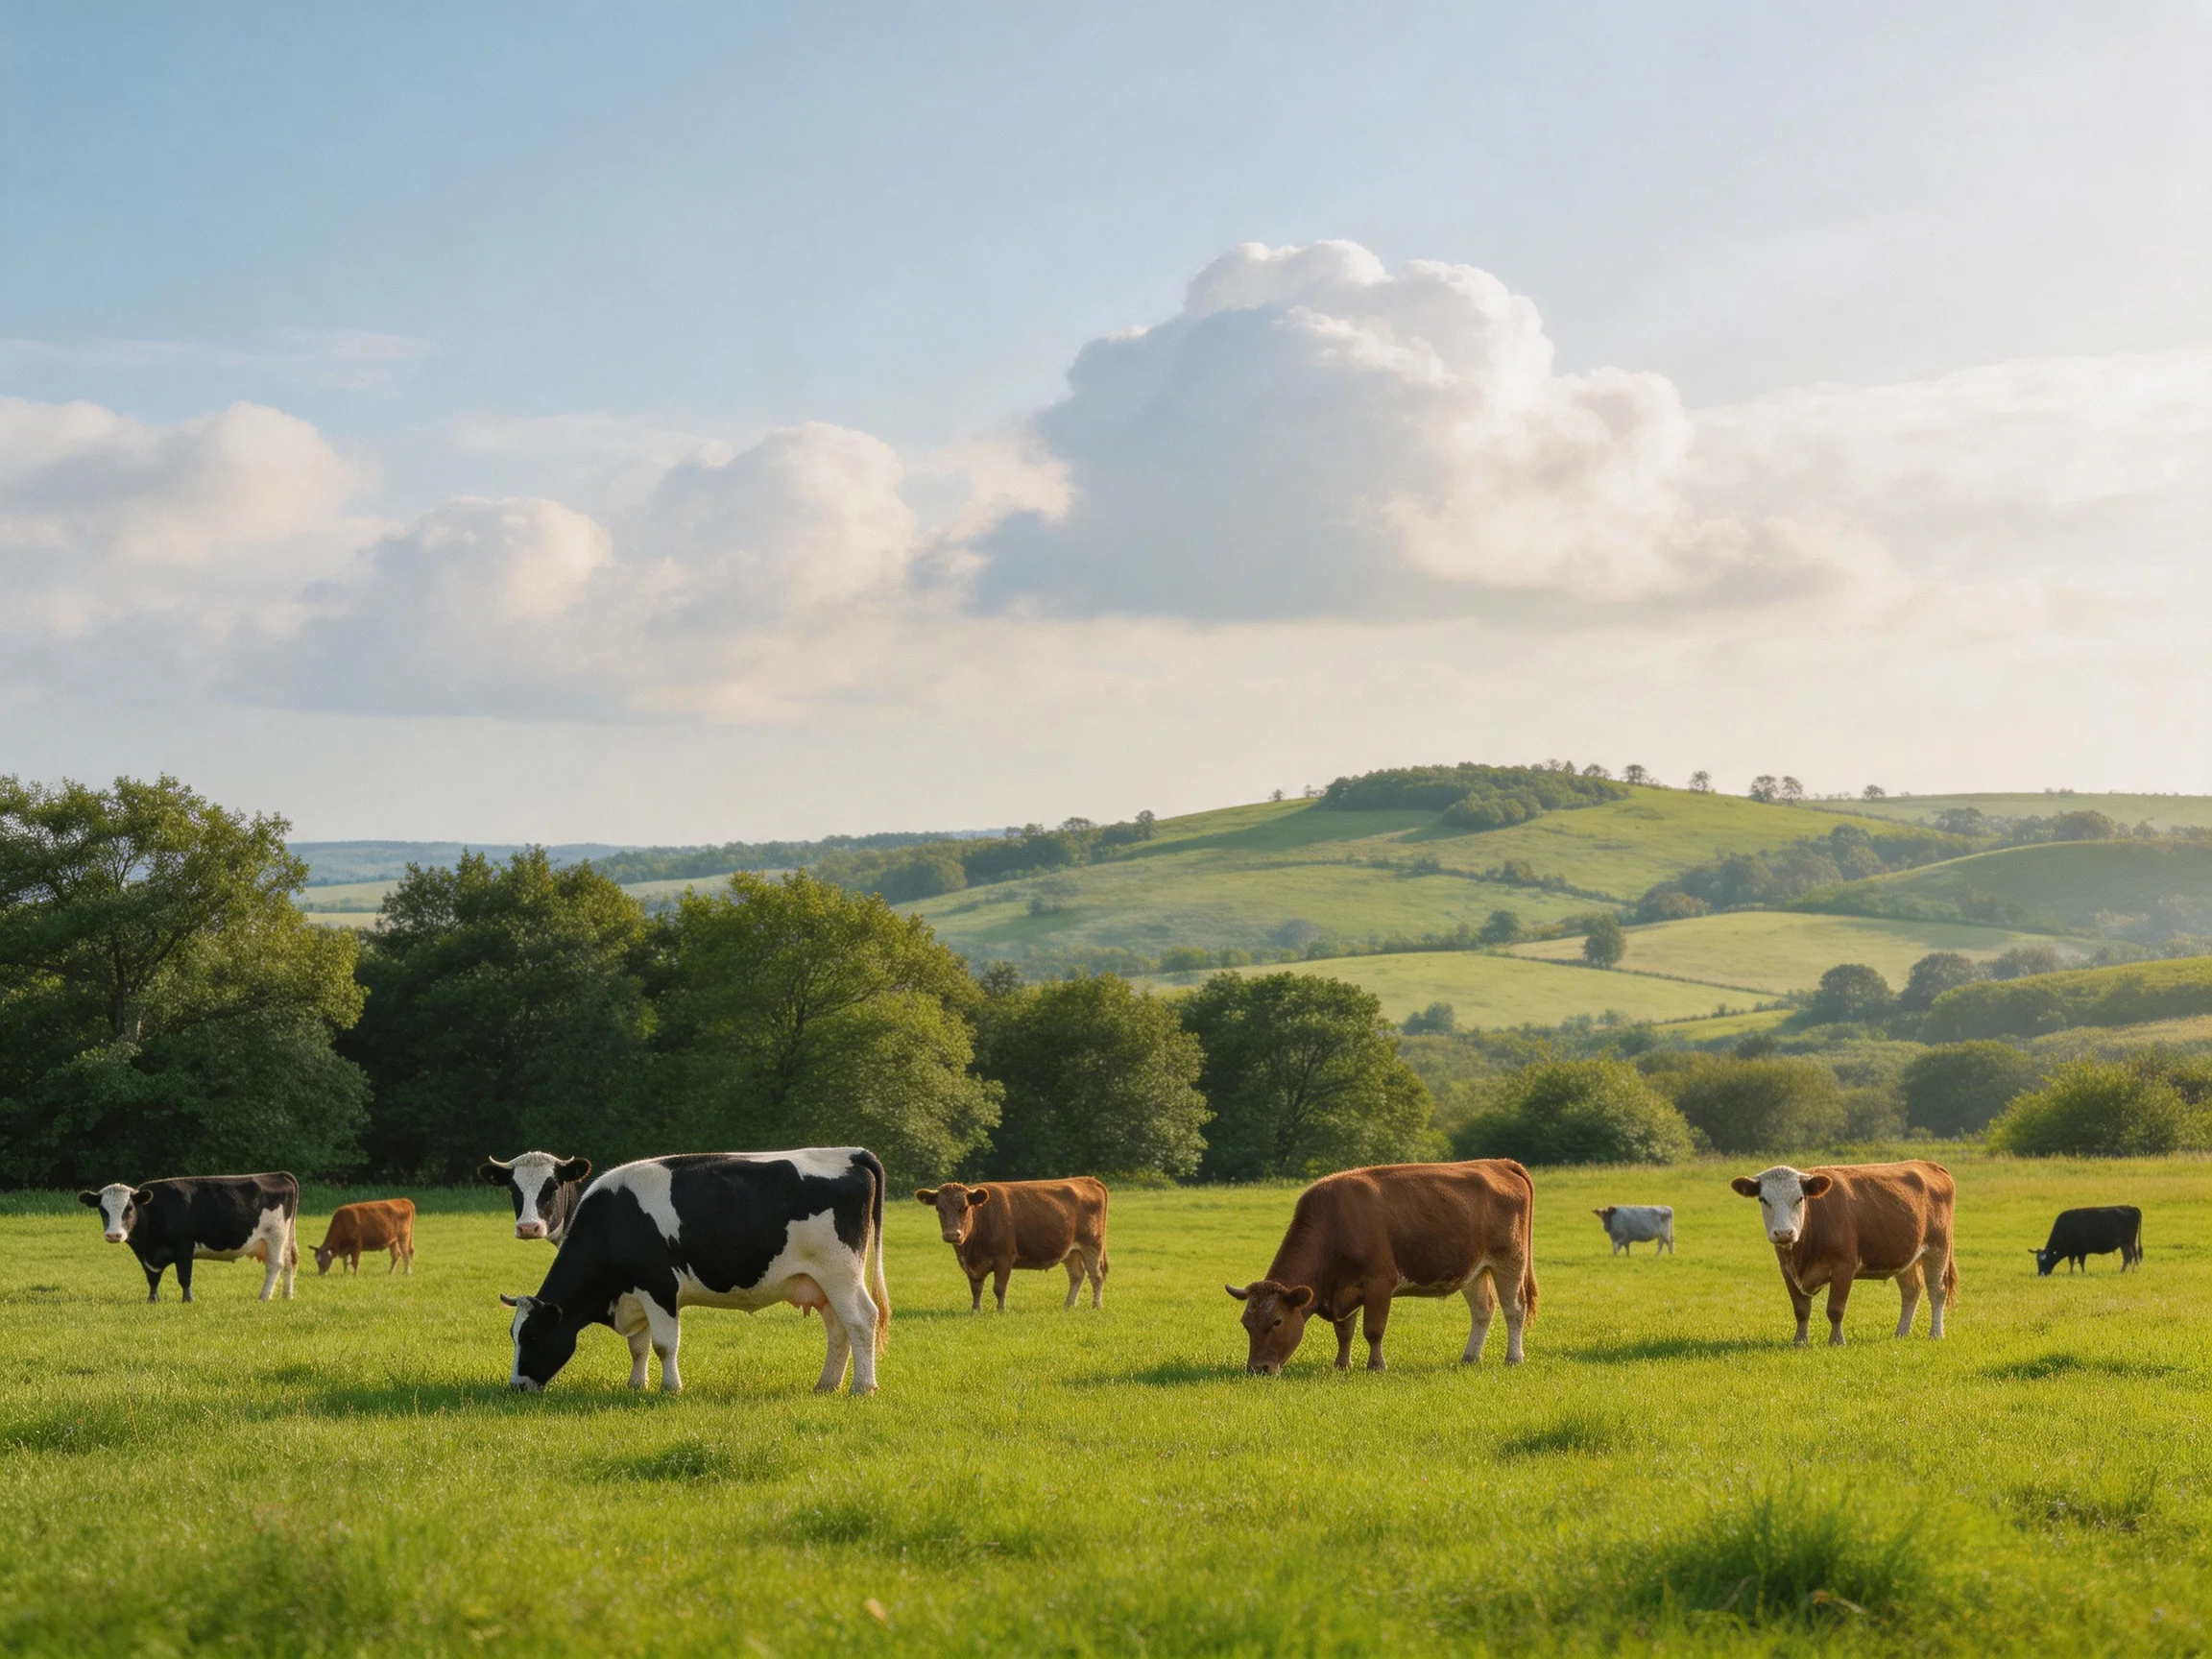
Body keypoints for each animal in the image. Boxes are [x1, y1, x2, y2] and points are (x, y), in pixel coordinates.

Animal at [77, 1174, 300, 1303]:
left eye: (129, 1208)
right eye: (102, 1209)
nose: (114, 1234)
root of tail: (278, 1175)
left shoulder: (184, 1247)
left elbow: (184, 1277)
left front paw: (188, 1300)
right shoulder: (145, 1254)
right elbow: (152, 1278)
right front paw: (152, 1299)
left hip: (275, 1235)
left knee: (275, 1265)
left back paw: (264, 1297)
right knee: (290, 1262)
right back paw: (287, 1295)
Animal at [501, 1148, 889, 1396]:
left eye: (532, 1336)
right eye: (512, 1335)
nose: (517, 1386)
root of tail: (851, 1153)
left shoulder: (659, 1287)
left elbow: (663, 1344)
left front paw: (670, 1388)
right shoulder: (636, 1293)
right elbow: (638, 1346)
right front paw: (636, 1385)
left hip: (841, 1273)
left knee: (861, 1320)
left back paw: (862, 1387)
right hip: (820, 1283)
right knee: (838, 1328)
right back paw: (827, 1385)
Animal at [915, 1178, 1109, 1311]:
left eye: (965, 1207)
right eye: (939, 1208)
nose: (952, 1234)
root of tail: (1087, 1179)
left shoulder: (1004, 1258)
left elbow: (999, 1288)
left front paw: (1000, 1310)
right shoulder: (971, 1265)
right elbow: (976, 1289)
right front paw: (975, 1310)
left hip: (1092, 1245)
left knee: (1096, 1276)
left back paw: (1096, 1306)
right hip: (1071, 1251)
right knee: (1077, 1275)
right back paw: (1068, 1305)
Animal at [1225, 1159, 1537, 1375]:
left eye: (1277, 1321)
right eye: (1246, 1323)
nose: (1257, 1369)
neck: (1335, 1225)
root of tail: (1498, 1163)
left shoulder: (1379, 1283)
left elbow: (1373, 1330)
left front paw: (1376, 1365)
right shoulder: (1343, 1288)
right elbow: (1344, 1332)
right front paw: (1342, 1365)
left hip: (1510, 1260)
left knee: (1514, 1309)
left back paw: (1514, 1357)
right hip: (1474, 1270)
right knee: (1483, 1310)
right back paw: (1470, 1357)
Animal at [1731, 1162, 1955, 1346]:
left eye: (1800, 1198)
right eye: (1763, 1199)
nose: (1784, 1233)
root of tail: (1929, 1164)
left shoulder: (1844, 1268)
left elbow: (1835, 1309)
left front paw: (1837, 1341)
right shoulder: (1787, 1270)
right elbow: (1801, 1310)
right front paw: (1799, 1341)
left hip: (1938, 1249)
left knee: (1937, 1291)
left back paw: (1936, 1333)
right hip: (1905, 1256)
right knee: (1911, 1291)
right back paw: (1900, 1333)